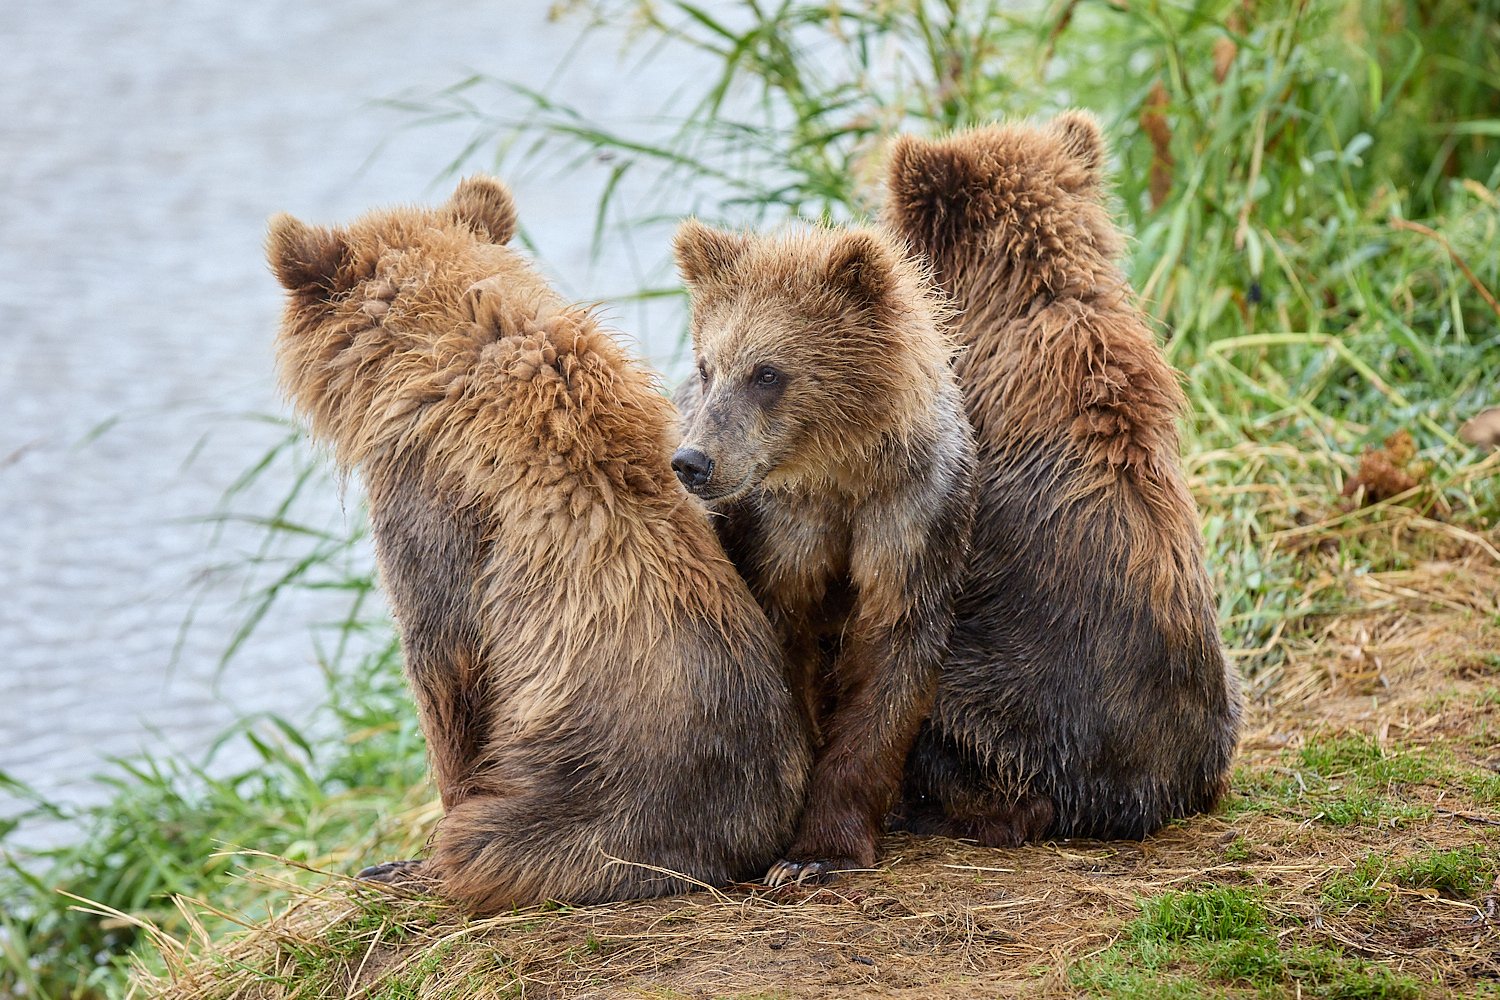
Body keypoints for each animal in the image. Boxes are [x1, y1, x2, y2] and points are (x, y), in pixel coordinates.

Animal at [669, 224, 972, 881]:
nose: (694, 462)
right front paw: (796, 842)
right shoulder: (787, 532)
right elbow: (788, 650)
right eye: (707, 367)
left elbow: (891, 661)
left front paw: (823, 851)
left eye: (766, 373)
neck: (841, 471)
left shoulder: (911, 519)